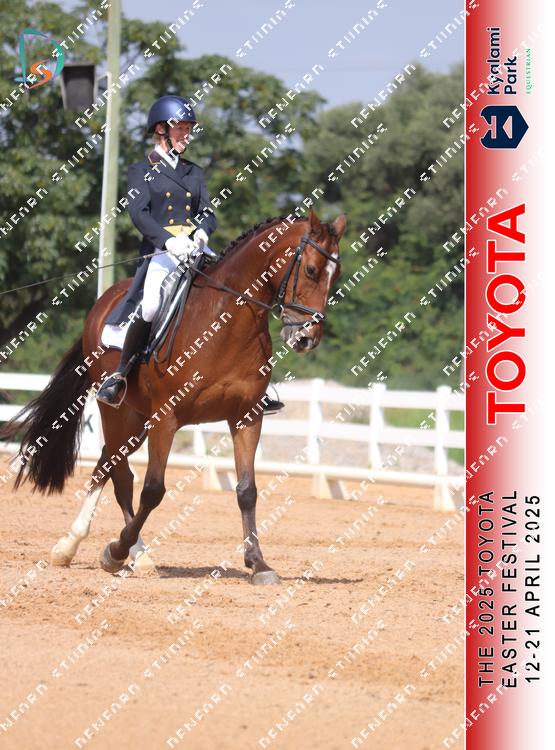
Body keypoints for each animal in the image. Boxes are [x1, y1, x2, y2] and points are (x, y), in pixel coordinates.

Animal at [1, 208, 345, 585]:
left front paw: (258, 564)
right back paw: (106, 551)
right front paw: (115, 550)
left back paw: (107, 551)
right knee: (117, 473)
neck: (226, 321)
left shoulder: (246, 417)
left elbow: (247, 490)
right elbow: (153, 489)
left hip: (137, 419)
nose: (306, 338)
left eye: (337, 275)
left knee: (109, 468)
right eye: (310, 270)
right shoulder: (165, 417)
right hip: (117, 412)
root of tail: (106, 300)